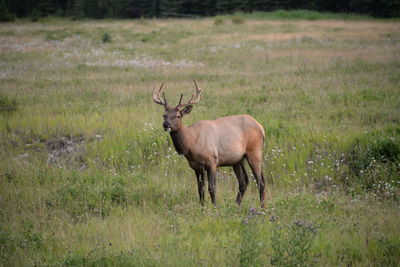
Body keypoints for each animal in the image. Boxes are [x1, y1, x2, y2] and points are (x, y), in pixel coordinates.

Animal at [152, 80, 268, 208]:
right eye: (164, 115)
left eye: (178, 116)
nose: (166, 124)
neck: (192, 144)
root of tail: (261, 128)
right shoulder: (196, 166)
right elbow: (200, 189)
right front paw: (202, 207)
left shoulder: (211, 161)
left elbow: (212, 187)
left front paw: (214, 207)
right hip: (237, 159)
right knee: (244, 181)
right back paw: (236, 204)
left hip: (254, 151)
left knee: (261, 181)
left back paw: (262, 207)